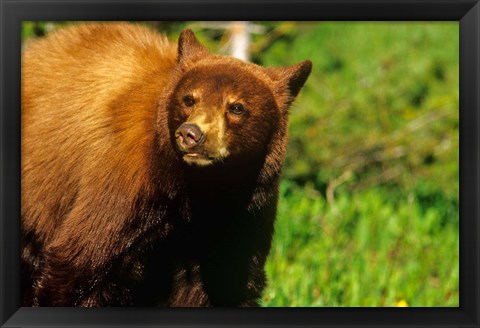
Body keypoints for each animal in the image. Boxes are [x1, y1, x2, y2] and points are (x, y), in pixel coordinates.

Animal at [21, 23, 312, 308]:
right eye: (189, 99)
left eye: (237, 107)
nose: (191, 134)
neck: (199, 189)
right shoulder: (125, 184)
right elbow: (81, 261)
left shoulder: (246, 210)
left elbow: (230, 283)